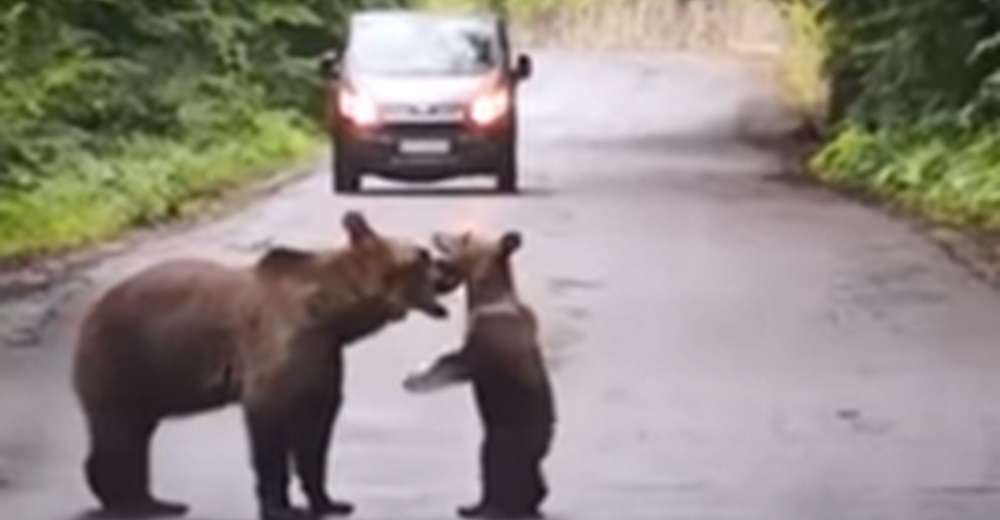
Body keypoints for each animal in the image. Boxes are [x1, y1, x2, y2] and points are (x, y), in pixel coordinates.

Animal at [73, 212, 460, 520]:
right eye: (423, 254)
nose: (448, 268)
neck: (331, 314)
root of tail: (90, 313)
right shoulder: (278, 347)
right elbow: (269, 425)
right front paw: (281, 506)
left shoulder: (321, 356)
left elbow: (315, 430)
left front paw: (330, 501)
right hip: (124, 356)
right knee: (119, 430)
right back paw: (134, 503)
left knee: (134, 431)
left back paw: (151, 500)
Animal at [402, 230, 556, 516]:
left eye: (465, 236)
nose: (435, 234)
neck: (489, 296)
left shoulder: (478, 353)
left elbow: (450, 364)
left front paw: (416, 378)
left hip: (501, 443)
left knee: (499, 473)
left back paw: (487, 507)